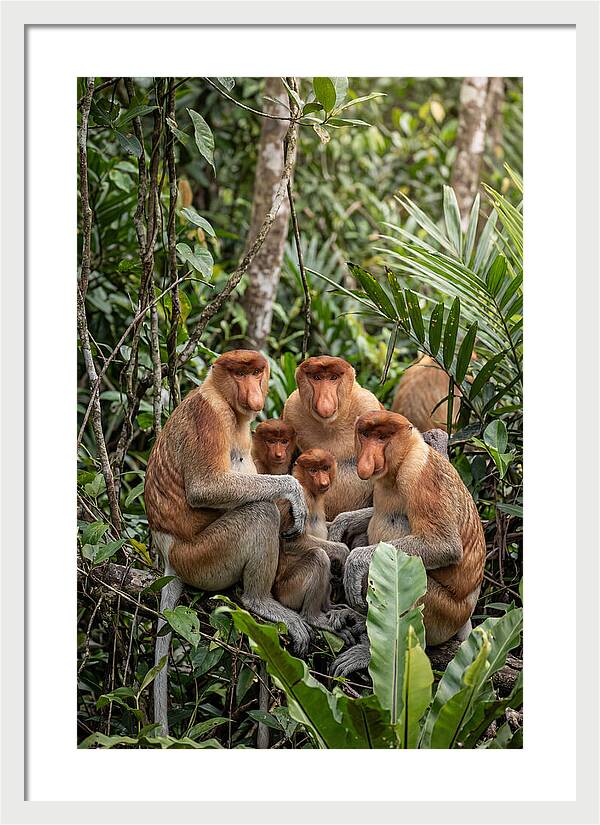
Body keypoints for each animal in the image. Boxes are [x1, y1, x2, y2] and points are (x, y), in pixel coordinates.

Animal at [144, 350, 311, 734]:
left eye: (256, 372)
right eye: (239, 374)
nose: (254, 393)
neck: (223, 397)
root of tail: (168, 555)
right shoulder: (209, 416)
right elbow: (206, 487)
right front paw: (294, 493)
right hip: (203, 557)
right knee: (260, 512)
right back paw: (259, 601)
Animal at [273, 449, 359, 643]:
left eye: (325, 468)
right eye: (313, 470)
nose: (323, 481)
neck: (309, 490)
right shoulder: (299, 500)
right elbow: (291, 542)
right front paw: (343, 551)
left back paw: (329, 607)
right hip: (289, 591)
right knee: (318, 556)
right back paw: (314, 617)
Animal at [283, 356, 381, 521]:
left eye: (333, 378)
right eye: (316, 377)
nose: (325, 403)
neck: (330, 425)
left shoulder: (367, 404)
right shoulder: (291, 409)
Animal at [331, 411, 485, 678]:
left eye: (382, 437)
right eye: (366, 435)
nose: (367, 459)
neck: (401, 460)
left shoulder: (420, 476)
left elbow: (444, 545)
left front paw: (355, 562)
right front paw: (341, 523)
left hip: (444, 614)